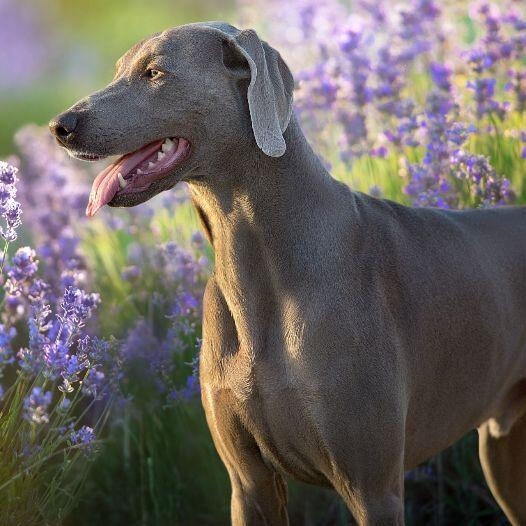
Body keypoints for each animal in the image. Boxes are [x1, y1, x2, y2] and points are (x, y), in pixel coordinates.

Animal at [49, 20, 526, 526]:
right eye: (118, 70)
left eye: (154, 72)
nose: (61, 126)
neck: (256, 269)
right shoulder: (248, 484)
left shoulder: (373, 489)